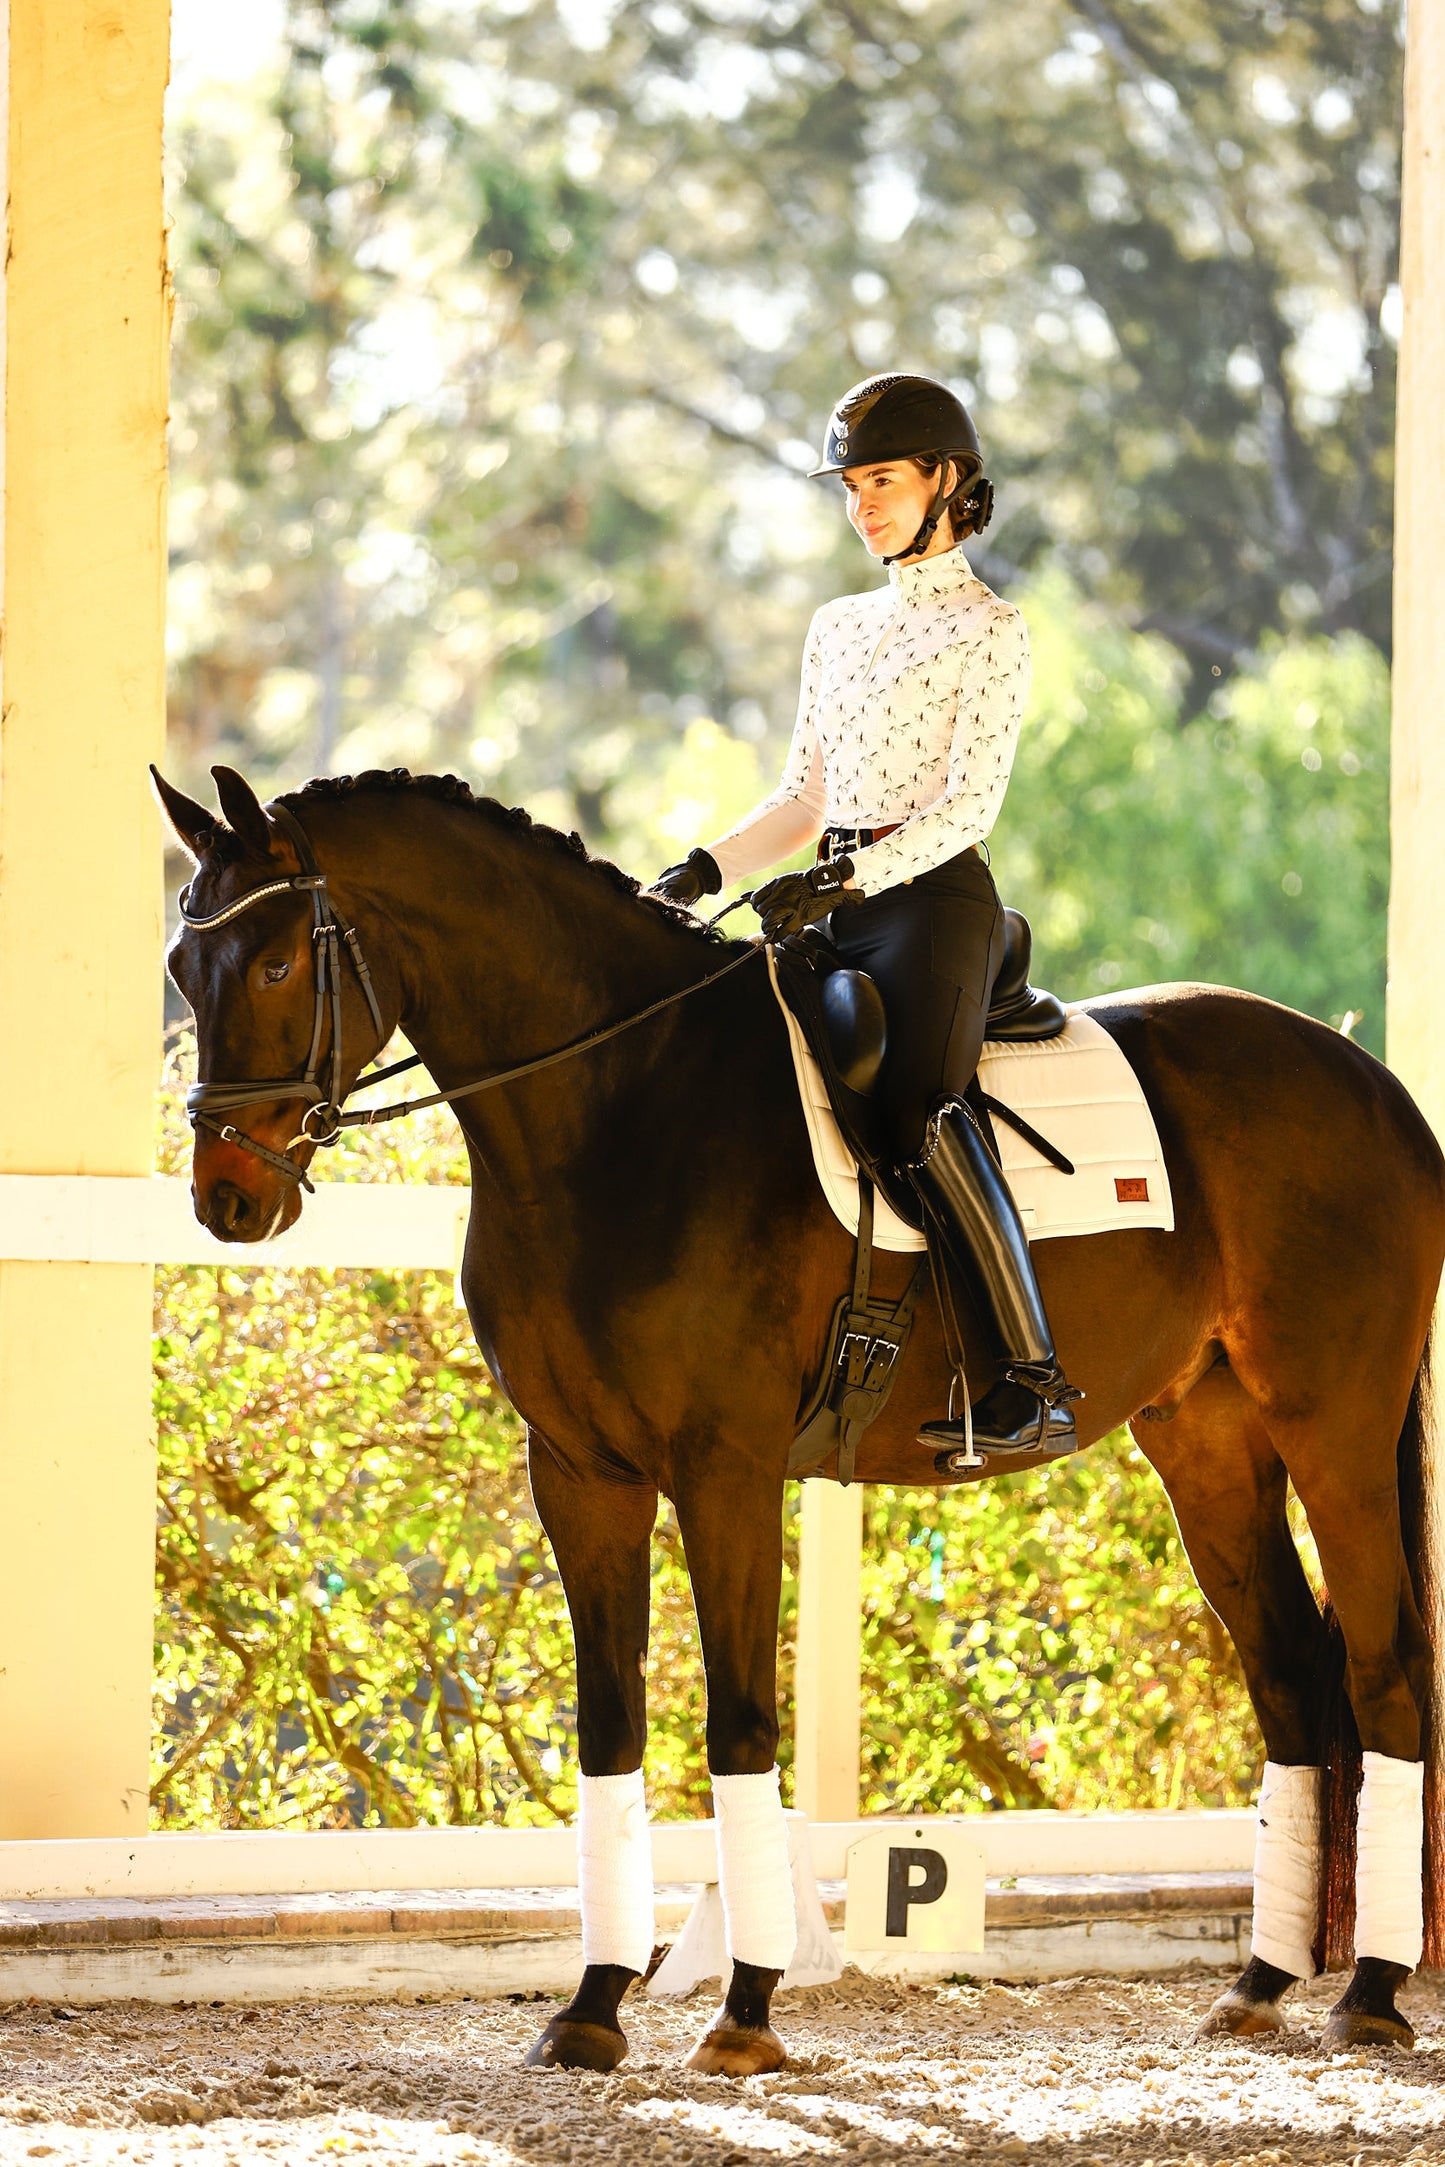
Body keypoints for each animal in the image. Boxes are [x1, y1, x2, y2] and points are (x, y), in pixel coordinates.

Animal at [154, 761, 1445, 2073]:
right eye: (180, 966)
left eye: (275, 965)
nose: (226, 1200)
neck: (617, 1105)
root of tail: (1369, 1082)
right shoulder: (578, 1472)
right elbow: (609, 1725)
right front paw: (592, 2006)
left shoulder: (723, 1467)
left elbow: (736, 1723)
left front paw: (743, 2010)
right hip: (1205, 1440)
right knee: (1290, 1676)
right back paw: (1258, 1982)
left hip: (1332, 1428)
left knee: (1384, 1672)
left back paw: (1369, 1990)